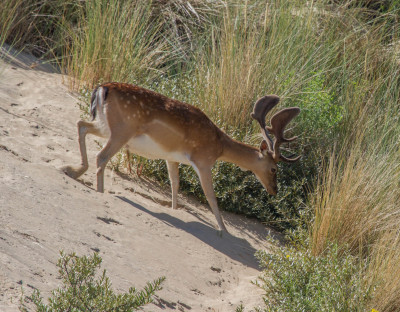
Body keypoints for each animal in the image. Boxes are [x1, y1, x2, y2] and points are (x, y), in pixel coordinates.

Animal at [62, 81, 300, 233]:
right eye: (274, 168)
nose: (274, 190)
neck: (220, 145)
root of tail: (103, 88)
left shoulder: (171, 157)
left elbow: (174, 183)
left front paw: (175, 210)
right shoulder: (203, 162)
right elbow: (211, 196)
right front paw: (224, 230)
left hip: (106, 126)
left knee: (81, 125)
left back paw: (71, 170)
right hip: (122, 131)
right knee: (101, 157)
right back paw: (99, 192)